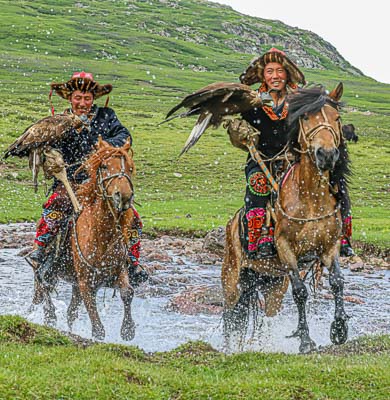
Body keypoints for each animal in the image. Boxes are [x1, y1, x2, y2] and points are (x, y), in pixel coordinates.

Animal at [32, 138, 138, 340]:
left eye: (130, 168)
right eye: (104, 166)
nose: (124, 197)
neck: (102, 235)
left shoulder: (118, 270)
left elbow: (128, 292)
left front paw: (128, 330)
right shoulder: (85, 283)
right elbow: (98, 328)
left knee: (70, 312)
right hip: (48, 270)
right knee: (43, 286)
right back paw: (50, 316)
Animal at [221, 84, 348, 354]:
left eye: (336, 118)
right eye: (306, 118)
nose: (326, 155)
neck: (311, 199)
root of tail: (231, 225)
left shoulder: (329, 246)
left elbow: (337, 282)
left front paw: (339, 330)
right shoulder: (286, 249)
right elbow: (300, 292)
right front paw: (306, 341)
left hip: (272, 284)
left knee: (264, 316)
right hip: (232, 281)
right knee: (229, 316)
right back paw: (228, 350)